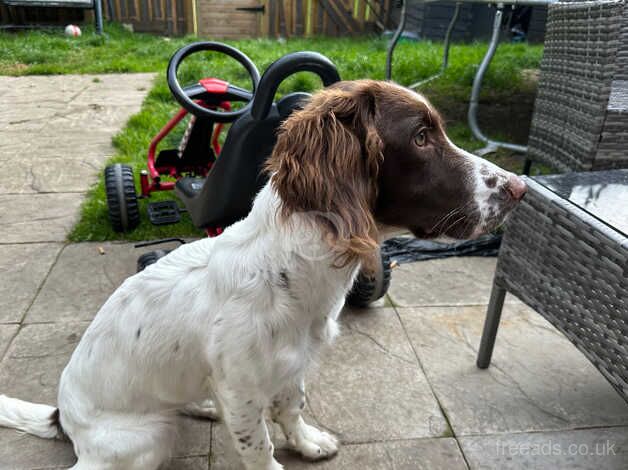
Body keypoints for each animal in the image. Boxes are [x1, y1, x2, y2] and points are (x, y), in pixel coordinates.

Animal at [0, 79, 524, 468]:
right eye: (420, 137)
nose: (520, 188)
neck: (292, 269)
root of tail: (63, 416)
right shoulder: (242, 390)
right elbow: (260, 446)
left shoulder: (293, 365)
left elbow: (293, 407)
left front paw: (307, 444)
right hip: (145, 438)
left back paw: (201, 404)